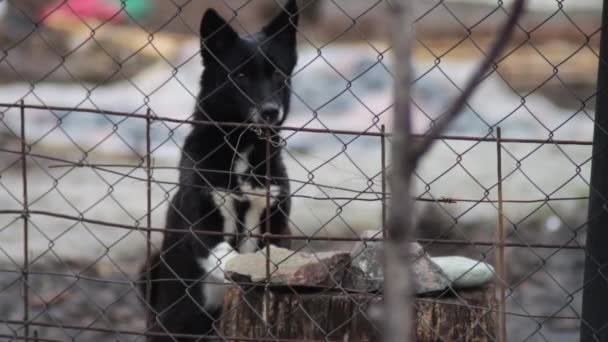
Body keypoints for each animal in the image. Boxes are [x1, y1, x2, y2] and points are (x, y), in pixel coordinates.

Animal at [141, 2, 296, 340]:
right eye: (240, 75)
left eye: (278, 74)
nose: (270, 112)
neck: (242, 146)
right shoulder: (203, 227)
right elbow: (231, 256)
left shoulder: (276, 223)